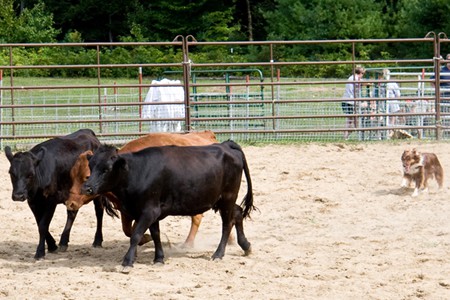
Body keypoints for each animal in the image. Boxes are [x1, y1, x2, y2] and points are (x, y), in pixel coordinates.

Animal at [4, 127, 107, 258]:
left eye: (30, 174)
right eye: (11, 173)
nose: (18, 195)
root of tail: (89, 132)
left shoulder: (51, 201)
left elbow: (43, 225)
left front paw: (40, 251)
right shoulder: (33, 202)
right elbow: (39, 223)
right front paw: (52, 245)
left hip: (96, 193)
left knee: (99, 212)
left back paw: (97, 240)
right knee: (72, 213)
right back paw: (63, 241)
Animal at [65, 131, 218, 246]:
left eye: (86, 176)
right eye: (72, 175)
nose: (70, 203)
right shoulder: (125, 210)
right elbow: (127, 230)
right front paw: (145, 238)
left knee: (197, 218)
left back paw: (188, 244)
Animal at [82, 141, 255, 272]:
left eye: (106, 169)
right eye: (90, 166)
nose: (87, 188)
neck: (136, 172)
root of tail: (226, 145)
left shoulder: (149, 211)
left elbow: (136, 235)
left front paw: (127, 262)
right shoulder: (153, 212)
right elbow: (156, 234)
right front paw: (159, 258)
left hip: (227, 197)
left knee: (227, 224)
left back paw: (218, 254)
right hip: (222, 200)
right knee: (238, 213)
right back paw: (246, 246)